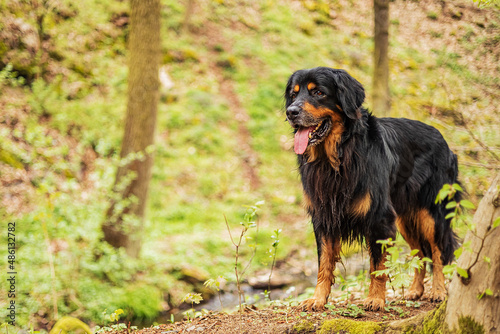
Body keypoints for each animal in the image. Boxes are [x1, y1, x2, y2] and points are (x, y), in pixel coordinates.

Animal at [286, 66, 460, 312]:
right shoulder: (323, 217)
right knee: (420, 252)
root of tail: (445, 142)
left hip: (431, 213)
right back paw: (416, 290)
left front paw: (376, 299)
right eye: (293, 95)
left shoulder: (379, 218)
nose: (291, 112)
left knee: (437, 252)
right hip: (406, 219)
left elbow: (377, 265)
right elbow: (324, 263)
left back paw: (438, 291)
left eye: (318, 92)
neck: (337, 157)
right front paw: (318, 298)